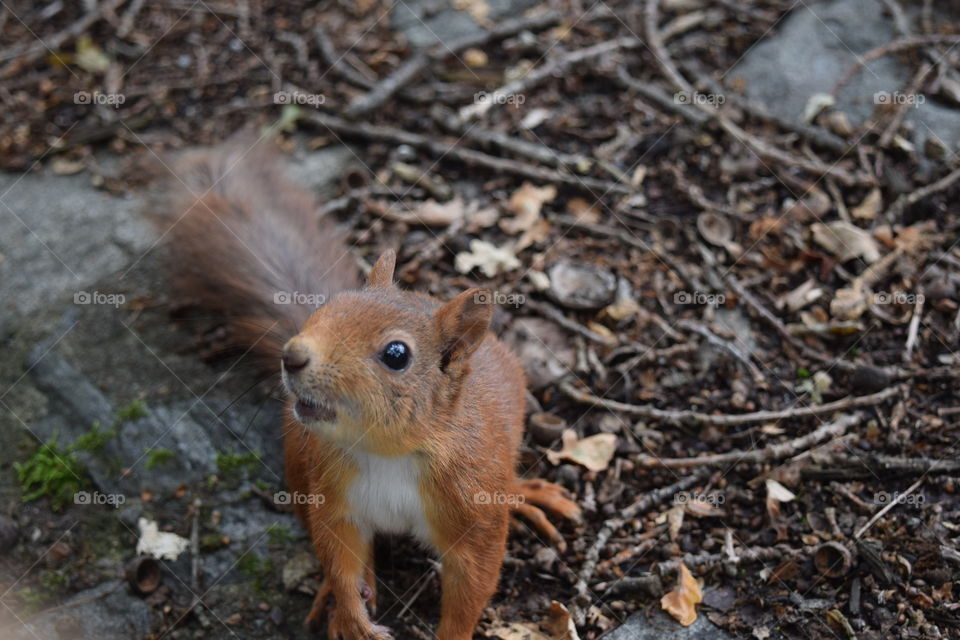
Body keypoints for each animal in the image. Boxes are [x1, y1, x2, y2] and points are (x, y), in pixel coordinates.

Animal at [151, 138, 582, 640]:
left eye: (396, 354)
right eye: (323, 309)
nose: (293, 355)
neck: (388, 454)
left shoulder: (474, 510)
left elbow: (471, 586)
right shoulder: (332, 494)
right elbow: (338, 553)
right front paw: (351, 611)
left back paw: (528, 494)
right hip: (298, 463)